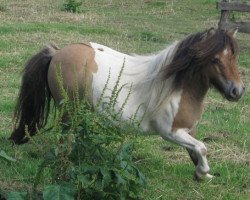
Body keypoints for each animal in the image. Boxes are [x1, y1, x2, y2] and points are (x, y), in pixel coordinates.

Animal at [9, 27, 244, 180]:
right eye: (215, 60)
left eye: (234, 57)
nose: (238, 91)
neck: (175, 85)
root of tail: (56, 53)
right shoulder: (170, 132)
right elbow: (202, 148)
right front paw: (203, 173)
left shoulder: (187, 129)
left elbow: (196, 151)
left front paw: (202, 175)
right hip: (69, 111)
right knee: (64, 141)